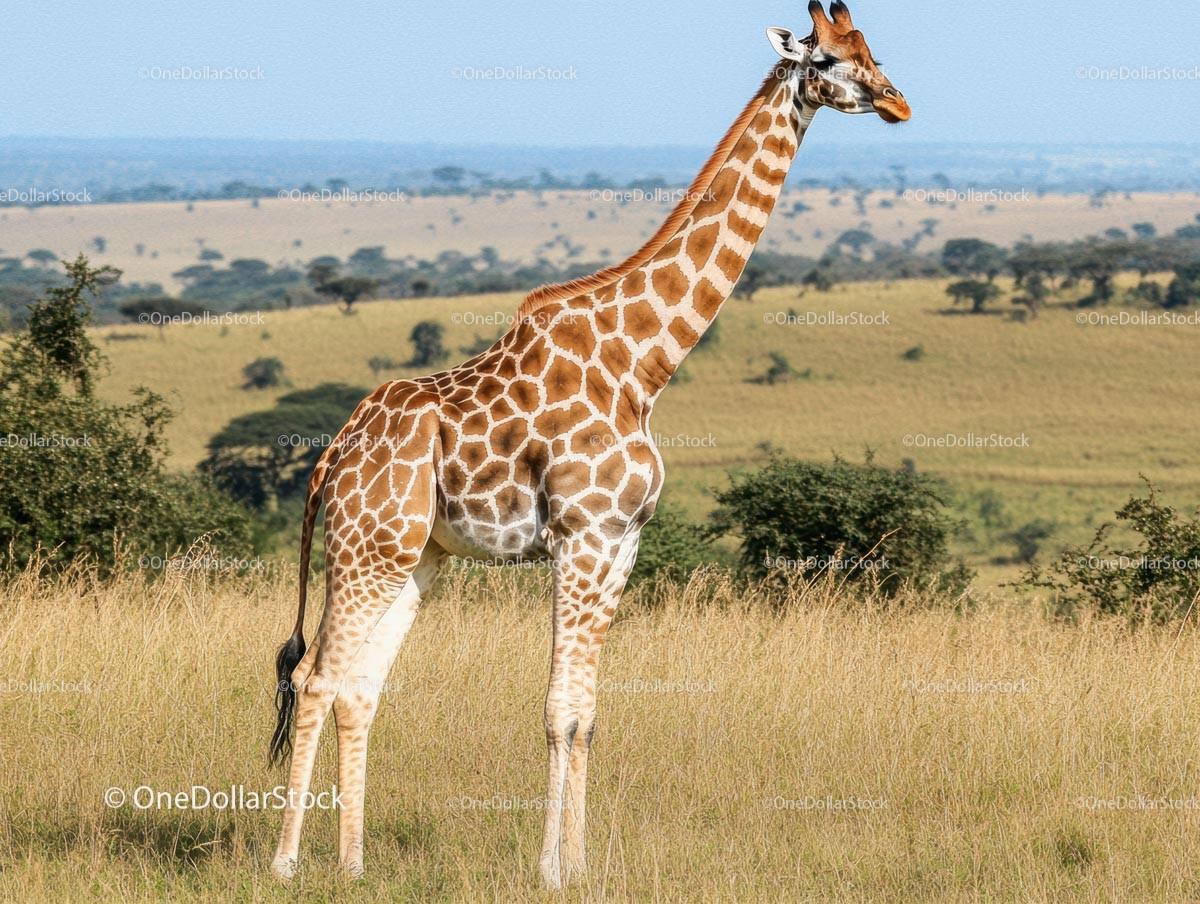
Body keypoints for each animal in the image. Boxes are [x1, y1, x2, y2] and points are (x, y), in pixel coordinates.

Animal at [268, 1, 909, 888]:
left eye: (870, 45)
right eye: (830, 58)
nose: (897, 102)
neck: (644, 361)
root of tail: (331, 458)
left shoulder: (622, 543)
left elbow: (588, 715)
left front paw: (576, 866)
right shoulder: (584, 535)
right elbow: (557, 711)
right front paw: (551, 872)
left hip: (412, 556)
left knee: (360, 685)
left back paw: (355, 864)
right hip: (365, 549)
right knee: (316, 676)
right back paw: (286, 863)